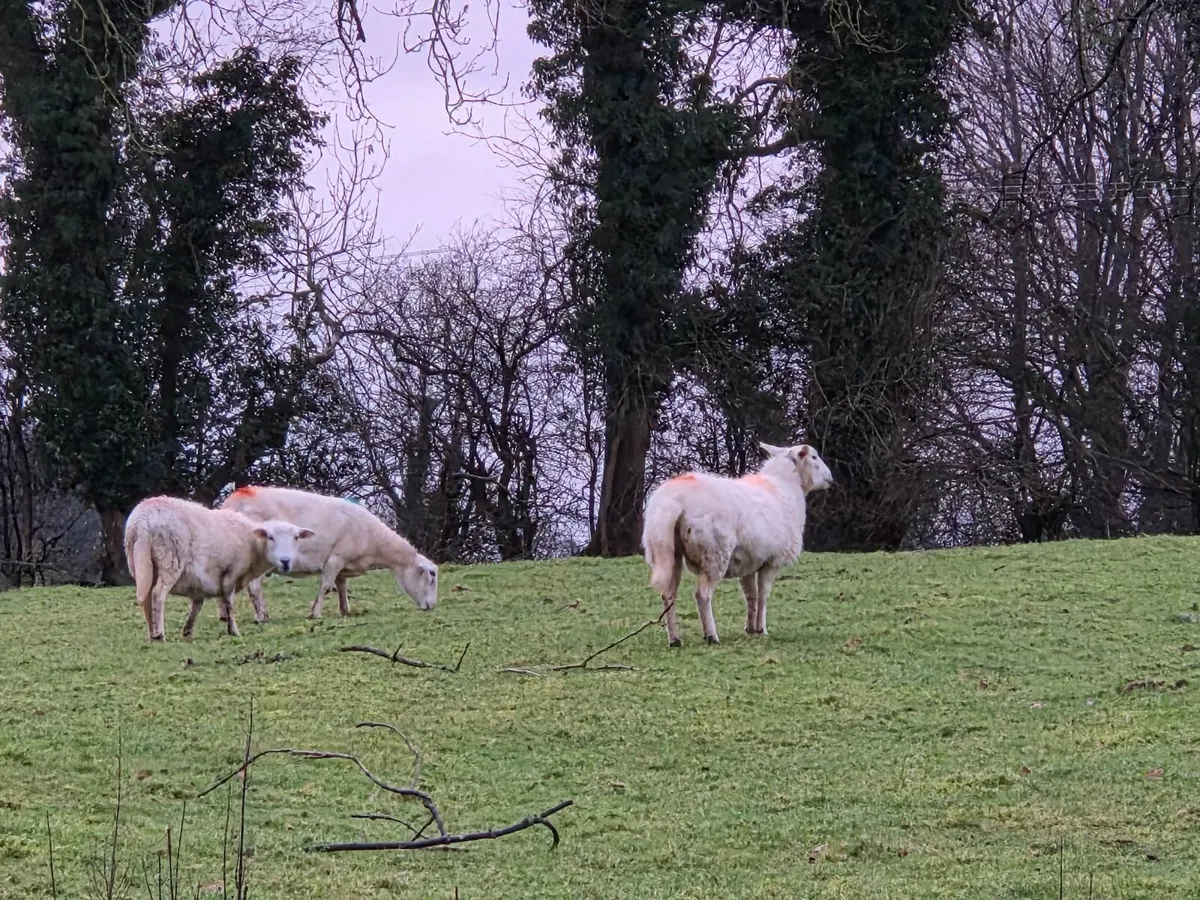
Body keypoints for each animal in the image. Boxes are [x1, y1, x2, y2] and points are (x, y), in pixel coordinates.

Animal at [123, 496, 315, 641]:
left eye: (296, 538)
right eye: (270, 537)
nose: (285, 561)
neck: (252, 544)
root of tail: (143, 520)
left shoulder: (200, 581)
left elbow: (197, 605)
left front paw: (187, 630)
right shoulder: (231, 572)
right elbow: (228, 602)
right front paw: (234, 630)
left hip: (140, 562)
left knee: (146, 597)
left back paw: (152, 632)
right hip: (169, 559)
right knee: (158, 595)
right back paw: (160, 634)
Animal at [218, 485, 438, 620]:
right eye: (432, 575)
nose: (431, 606)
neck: (375, 541)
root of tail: (236, 497)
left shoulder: (344, 565)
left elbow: (342, 587)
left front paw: (345, 610)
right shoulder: (335, 559)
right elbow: (325, 586)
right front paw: (315, 614)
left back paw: (225, 615)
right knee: (254, 587)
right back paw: (261, 616)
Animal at [641, 442, 834, 648]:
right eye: (814, 457)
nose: (831, 479)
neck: (784, 487)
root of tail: (673, 499)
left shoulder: (748, 562)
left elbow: (751, 595)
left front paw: (750, 628)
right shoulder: (772, 562)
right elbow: (763, 594)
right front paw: (762, 629)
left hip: (668, 552)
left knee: (668, 595)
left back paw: (675, 639)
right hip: (714, 552)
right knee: (702, 595)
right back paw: (711, 636)